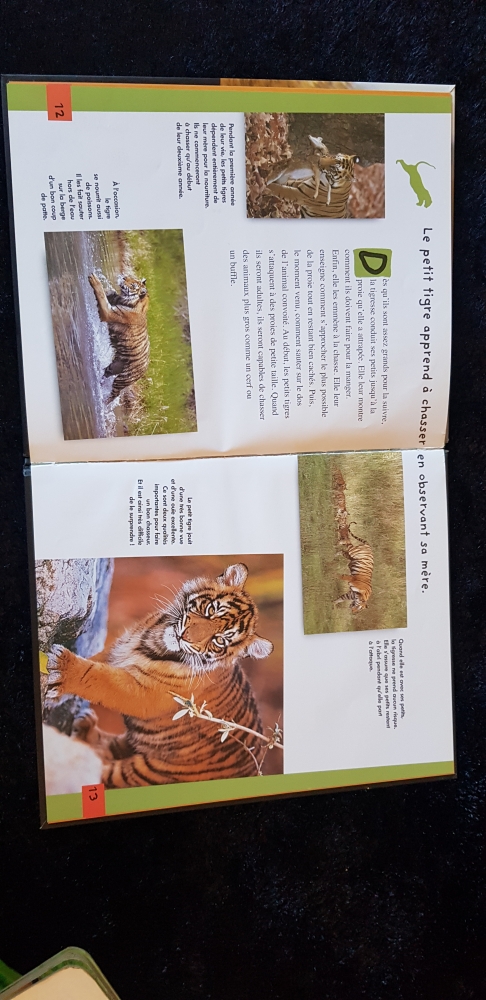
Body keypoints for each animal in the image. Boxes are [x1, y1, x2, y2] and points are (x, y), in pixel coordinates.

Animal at [44, 563, 274, 788]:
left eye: (219, 641)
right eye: (211, 610)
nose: (184, 637)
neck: (153, 642)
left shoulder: (143, 693)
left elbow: (100, 678)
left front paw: (63, 668)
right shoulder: (117, 650)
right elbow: (96, 663)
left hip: (144, 772)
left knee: (98, 769)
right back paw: (85, 728)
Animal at [88, 271, 150, 403]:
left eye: (132, 284)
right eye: (132, 278)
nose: (124, 277)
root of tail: (145, 370)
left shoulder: (108, 312)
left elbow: (101, 294)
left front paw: (94, 280)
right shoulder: (112, 300)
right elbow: (106, 293)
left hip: (123, 379)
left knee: (114, 394)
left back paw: (104, 403)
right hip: (115, 366)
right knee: (105, 373)